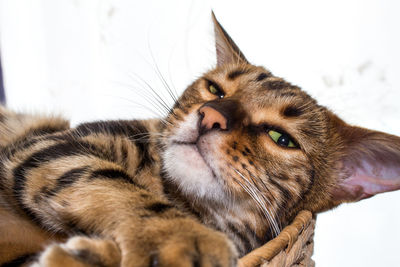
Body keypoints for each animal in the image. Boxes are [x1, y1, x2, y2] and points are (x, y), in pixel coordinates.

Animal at [0, 13, 400, 267]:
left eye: (281, 138)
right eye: (214, 89)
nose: (211, 115)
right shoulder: (49, 145)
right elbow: (110, 181)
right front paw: (180, 237)